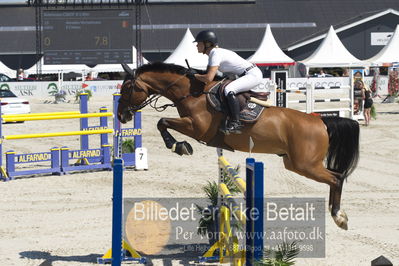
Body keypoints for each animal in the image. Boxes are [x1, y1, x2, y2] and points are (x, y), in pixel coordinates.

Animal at [118, 61, 360, 229]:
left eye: (127, 88)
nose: (121, 116)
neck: (191, 93)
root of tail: (321, 121)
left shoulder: (196, 128)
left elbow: (162, 122)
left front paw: (178, 146)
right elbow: (163, 122)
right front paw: (179, 146)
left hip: (305, 164)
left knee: (336, 178)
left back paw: (338, 216)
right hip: (294, 163)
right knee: (335, 177)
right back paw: (338, 214)